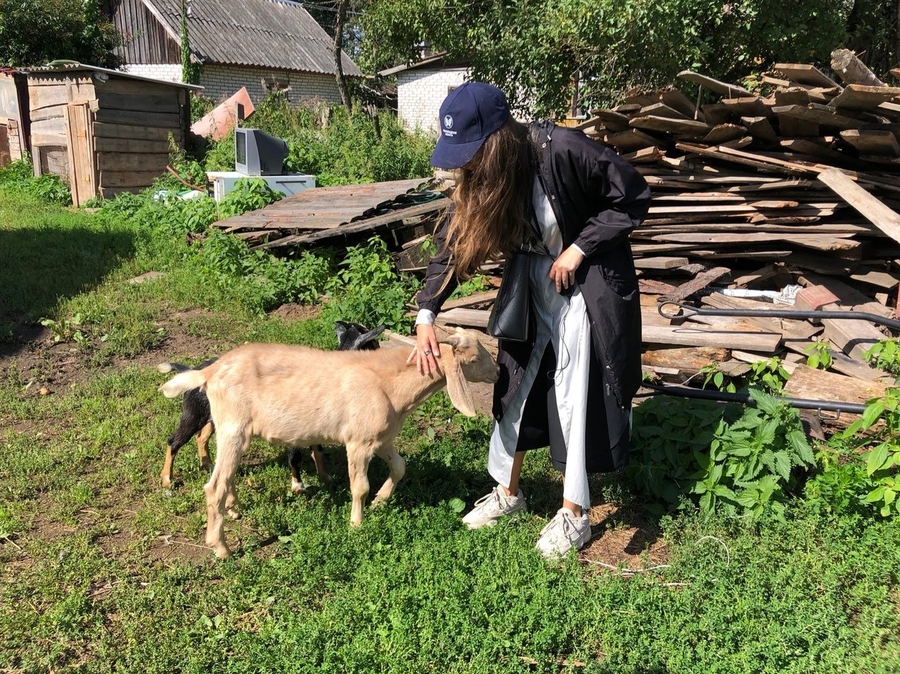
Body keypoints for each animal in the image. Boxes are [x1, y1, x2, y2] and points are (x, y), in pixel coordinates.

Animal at [158, 320, 384, 488]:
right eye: (373, 343)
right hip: (193, 414)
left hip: (217, 418)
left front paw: (326, 479)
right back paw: (168, 480)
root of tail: (195, 370)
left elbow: (318, 451)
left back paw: (206, 464)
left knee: (201, 437)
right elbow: (295, 457)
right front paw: (298, 486)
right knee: (174, 441)